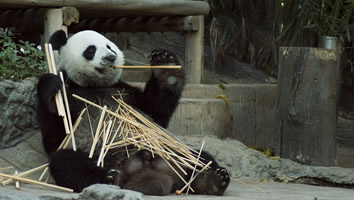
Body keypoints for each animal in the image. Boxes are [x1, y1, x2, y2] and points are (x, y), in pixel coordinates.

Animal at [36, 30, 230, 195]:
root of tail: (145, 171)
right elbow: (54, 135)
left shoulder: (125, 92)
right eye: (91, 49)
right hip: (102, 155)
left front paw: (165, 64)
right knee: (67, 162)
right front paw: (51, 86)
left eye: (109, 46)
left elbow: (156, 112)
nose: (110, 57)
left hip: (171, 149)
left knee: (199, 157)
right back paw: (108, 178)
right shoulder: (71, 94)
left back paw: (212, 180)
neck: (93, 85)